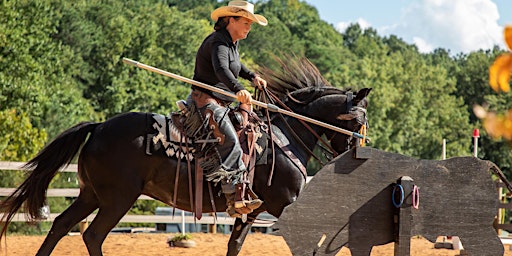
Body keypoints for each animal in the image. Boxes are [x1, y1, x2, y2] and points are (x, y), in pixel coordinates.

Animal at [0, 57, 370, 255]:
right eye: (358, 122)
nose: (355, 156)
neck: (283, 138)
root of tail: (100, 126)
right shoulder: (285, 204)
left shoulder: (250, 212)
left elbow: (234, 245)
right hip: (117, 198)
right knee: (92, 234)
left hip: (91, 194)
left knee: (61, 225)